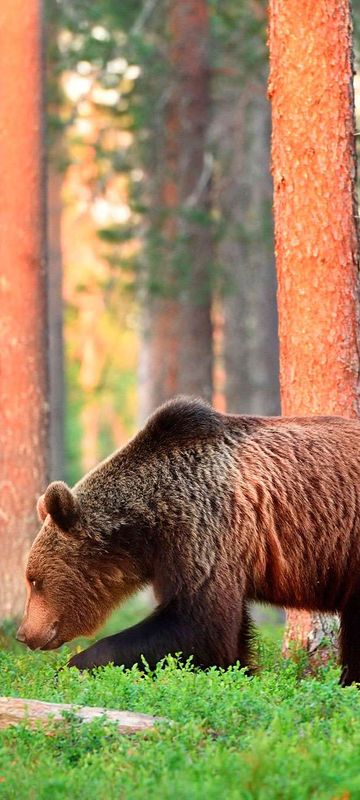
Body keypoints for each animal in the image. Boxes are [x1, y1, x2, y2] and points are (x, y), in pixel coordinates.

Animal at [16, 396, 360, 684]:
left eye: (34, 580)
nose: (24, 634)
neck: (149, 527)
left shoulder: (205, 531)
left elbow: (197, 624)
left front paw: (72, 668)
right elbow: (224, 637)